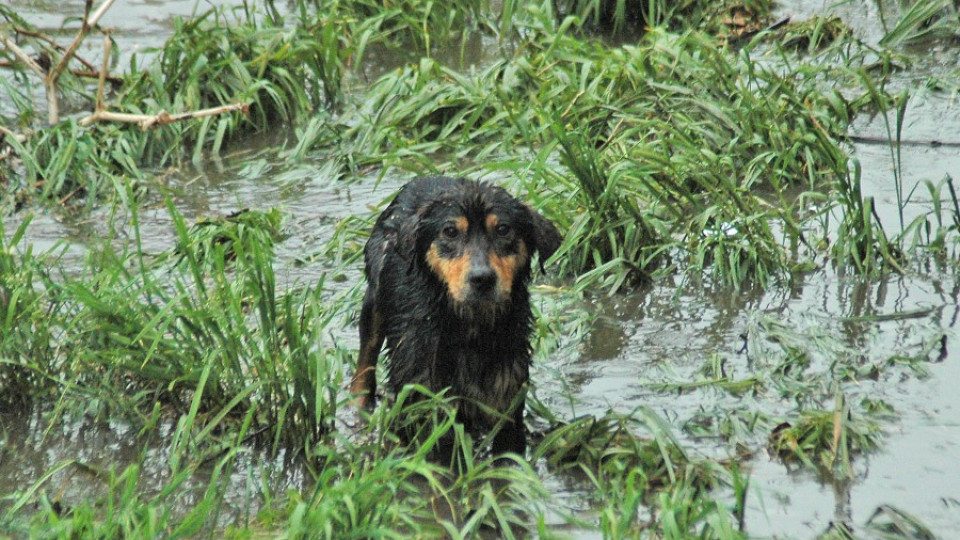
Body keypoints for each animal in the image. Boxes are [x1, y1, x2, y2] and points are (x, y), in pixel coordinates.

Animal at [350, 175, 564, 454]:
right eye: (450, 231)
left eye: (503, 229)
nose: (482, 278)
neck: (470, 326)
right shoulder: (422, 395)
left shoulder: (507, 396)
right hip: (374, 300)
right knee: (366, 357)